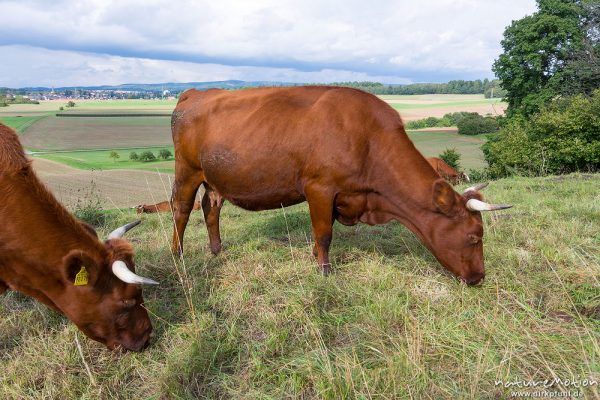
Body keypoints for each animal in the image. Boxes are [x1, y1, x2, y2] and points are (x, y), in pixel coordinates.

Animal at [170, 86, 510, 284]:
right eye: (474, 237)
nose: (480, 278)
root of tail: (195, 92)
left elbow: (322, 233)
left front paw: (314, 259)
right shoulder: (320, 189)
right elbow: (324, 233)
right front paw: (324, 271)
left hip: (214, 178)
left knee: (210, 208)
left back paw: (216, 251)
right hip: (187, 170)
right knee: (181, 209)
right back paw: (178, 255)